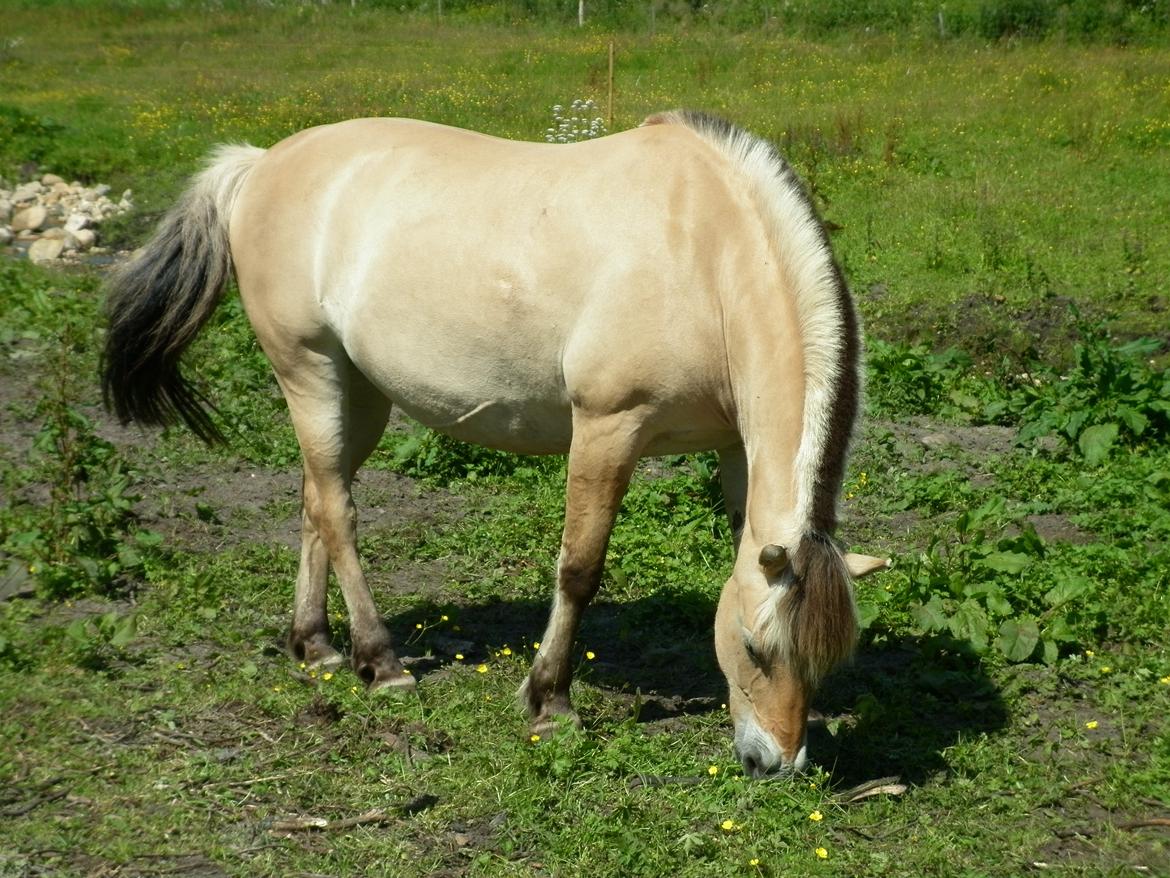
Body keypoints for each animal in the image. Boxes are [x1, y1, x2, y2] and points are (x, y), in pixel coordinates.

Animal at [102, 110, 884, 777]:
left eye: (827, 658)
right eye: (753, 646)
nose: (774, 762)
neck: (702, 254)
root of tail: (261, 162)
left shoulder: (734, 450)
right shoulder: (608, 429)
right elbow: (579, 570)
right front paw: (550, 702)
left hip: (358, 393)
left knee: (315, 499)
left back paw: (316, 645)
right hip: (308, 371)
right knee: (338, 512)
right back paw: (381, 662)